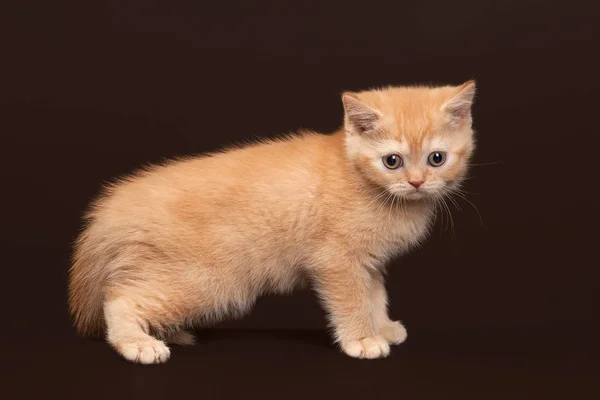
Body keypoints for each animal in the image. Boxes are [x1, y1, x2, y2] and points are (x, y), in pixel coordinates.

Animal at [68, 80, 476, 362]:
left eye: (437, 158)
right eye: (392, 161)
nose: (417, 182)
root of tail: (115, 209)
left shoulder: (368, 263)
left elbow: (374, 296)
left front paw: (383, 327)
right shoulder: (336, 261)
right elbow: (352, 301)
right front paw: (362, 339)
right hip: (207, 282)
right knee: (120, 299)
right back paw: (139, 344)